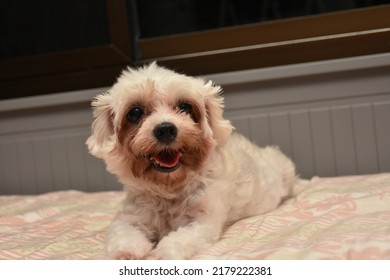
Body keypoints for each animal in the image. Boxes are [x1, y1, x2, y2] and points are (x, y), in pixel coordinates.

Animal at [87, 62, 298, 260]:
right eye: (135, 112)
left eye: (184, 107)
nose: (165, 129)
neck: (169, 190)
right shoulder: (130, 219)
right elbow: (123, 238)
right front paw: (124, 254)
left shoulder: (201, 223)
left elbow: (175, 241)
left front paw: (161, 255)